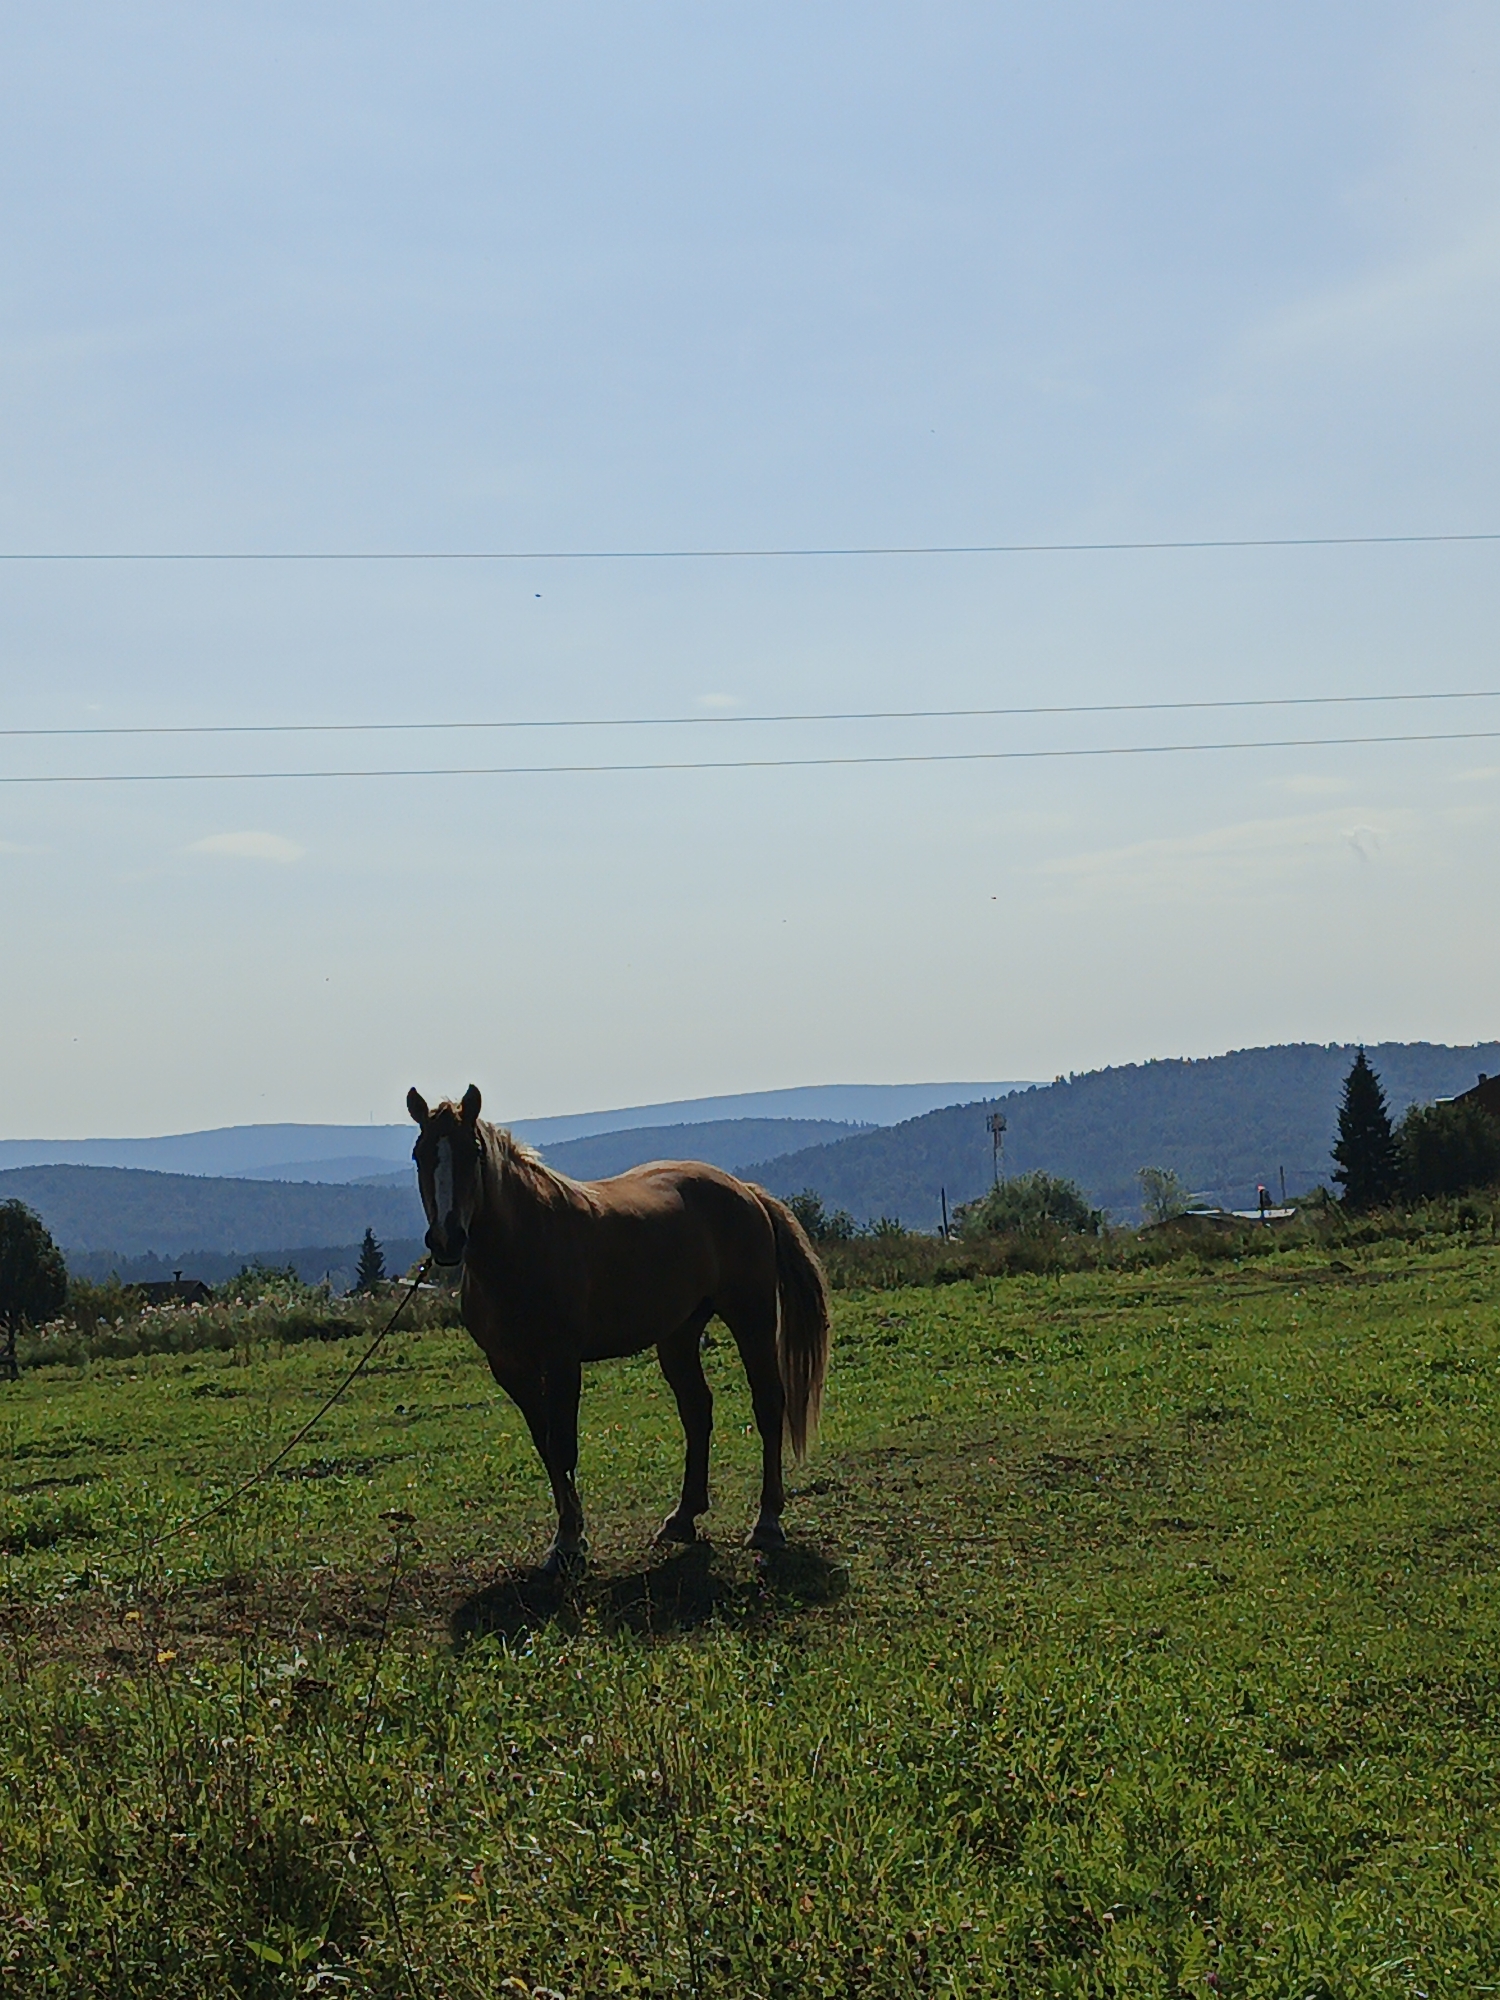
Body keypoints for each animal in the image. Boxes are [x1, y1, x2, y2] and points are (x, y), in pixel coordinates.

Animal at [407, 1085, 831, 1572]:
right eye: (420, 1154)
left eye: (472, 1151)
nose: (447, 1240)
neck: (524, 1245)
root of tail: (745, 1191)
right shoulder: (510, 1368)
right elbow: (545, 1446)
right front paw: (568, 1533)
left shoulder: (562, 1360)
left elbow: (563, 1444)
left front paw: (568, 1542)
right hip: (679, 1333)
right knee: (697, 1410)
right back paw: (682, 1518)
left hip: (752, 1318)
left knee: (768, 1405)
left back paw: (767, 1522)